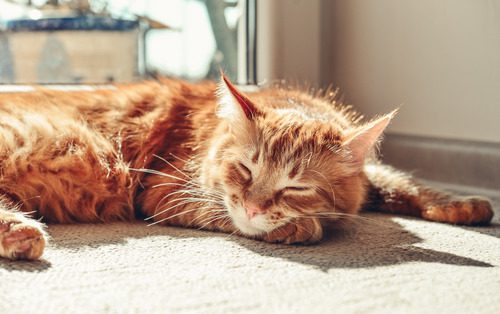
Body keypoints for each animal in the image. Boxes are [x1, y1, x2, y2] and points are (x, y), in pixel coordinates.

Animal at [0, 75, 492, 260]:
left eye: (297, 188)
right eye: (246, 171)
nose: (255, 207)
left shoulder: (372, 176)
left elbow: (403, 184)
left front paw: (464, 205)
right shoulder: (165, 192)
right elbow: (221, 211)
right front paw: (298, 228)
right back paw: (22, 233)